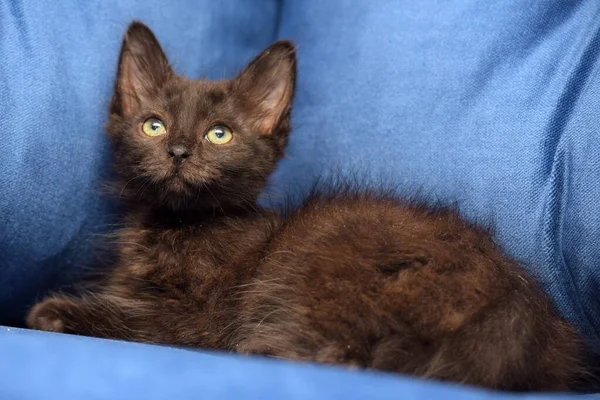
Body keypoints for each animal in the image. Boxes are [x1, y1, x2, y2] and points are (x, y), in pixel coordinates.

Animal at [27, 21, 580, 390]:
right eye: (154, 125)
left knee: (352, 360)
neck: (179, 225)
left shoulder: (197, 319)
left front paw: (54, 311)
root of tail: (520, 310)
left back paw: (261, 350)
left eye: (219, 134)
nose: (179, 151)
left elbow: (137, 320)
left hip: (322, 252)